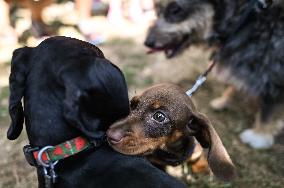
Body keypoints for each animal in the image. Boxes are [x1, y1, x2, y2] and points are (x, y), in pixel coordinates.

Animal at [106, 83, 235, 181]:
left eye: (159, 116)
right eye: (132, 105)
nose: (109, 134)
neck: (171, 153)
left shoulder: (195, 150)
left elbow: (198, 157)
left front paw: (203, 167)